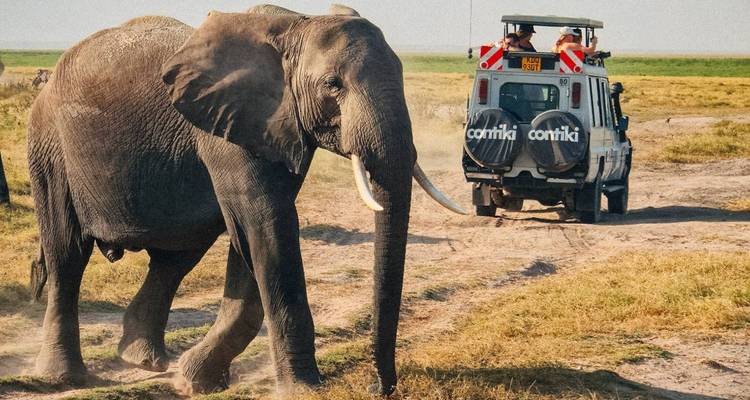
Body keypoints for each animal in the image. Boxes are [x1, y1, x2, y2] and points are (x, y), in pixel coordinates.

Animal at [26, 3, 464, 396]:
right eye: (332, 85)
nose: (379, 387)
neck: (296, 26)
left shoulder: (273, 127)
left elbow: (255, 237)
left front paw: (195, 380)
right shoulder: (230, 131)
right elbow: (266, 226)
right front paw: (304, 389)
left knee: (175, 257)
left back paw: (143, 361)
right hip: (50, 145)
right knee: (67, 253)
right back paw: (66, 377)